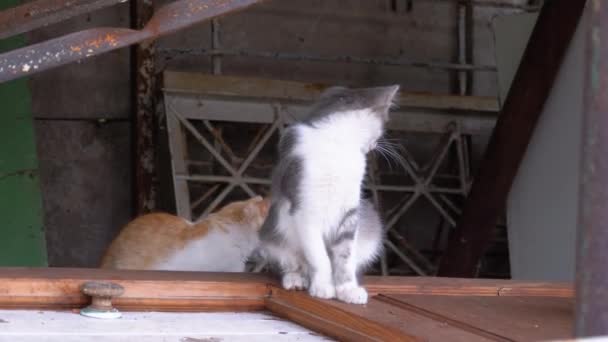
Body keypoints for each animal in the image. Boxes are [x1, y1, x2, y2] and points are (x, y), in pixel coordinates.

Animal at [256, 85, 400, 304]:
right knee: (291, 263)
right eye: (383, 128)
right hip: (272, 237)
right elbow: (319, 256)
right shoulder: (305, 210)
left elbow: (345, 256)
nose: (375, 146)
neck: (337, 145)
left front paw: (347, 289)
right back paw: (295, 279)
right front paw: (323, 287)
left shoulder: (350, 212)